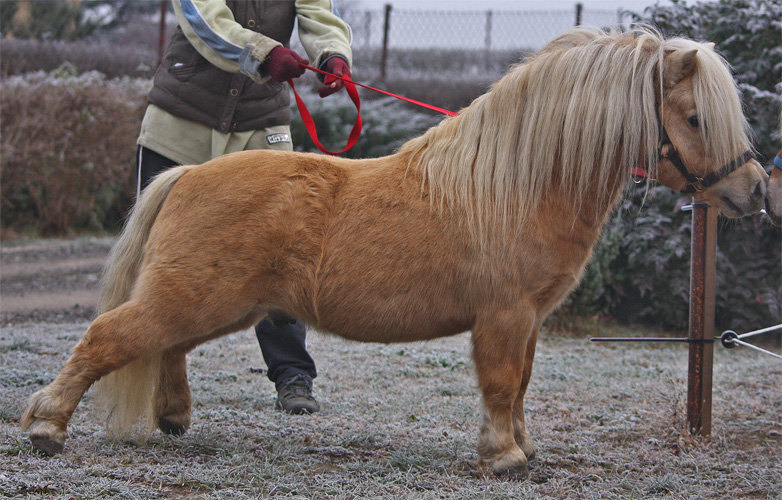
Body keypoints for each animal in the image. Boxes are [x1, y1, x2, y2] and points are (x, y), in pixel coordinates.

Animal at [23, 28, 764, 476]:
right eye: (695, 117)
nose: (755, 190)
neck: (516, 182)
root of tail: (187, 175)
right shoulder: (504, 316)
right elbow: (502, 384)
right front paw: (503, 457)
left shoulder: (529, 321)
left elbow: (522, 384)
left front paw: (522, 446)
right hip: (193, 298)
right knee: (108, 338)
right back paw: (46, 425)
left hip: (220, 305)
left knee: (165, 346)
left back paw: (173, 416)